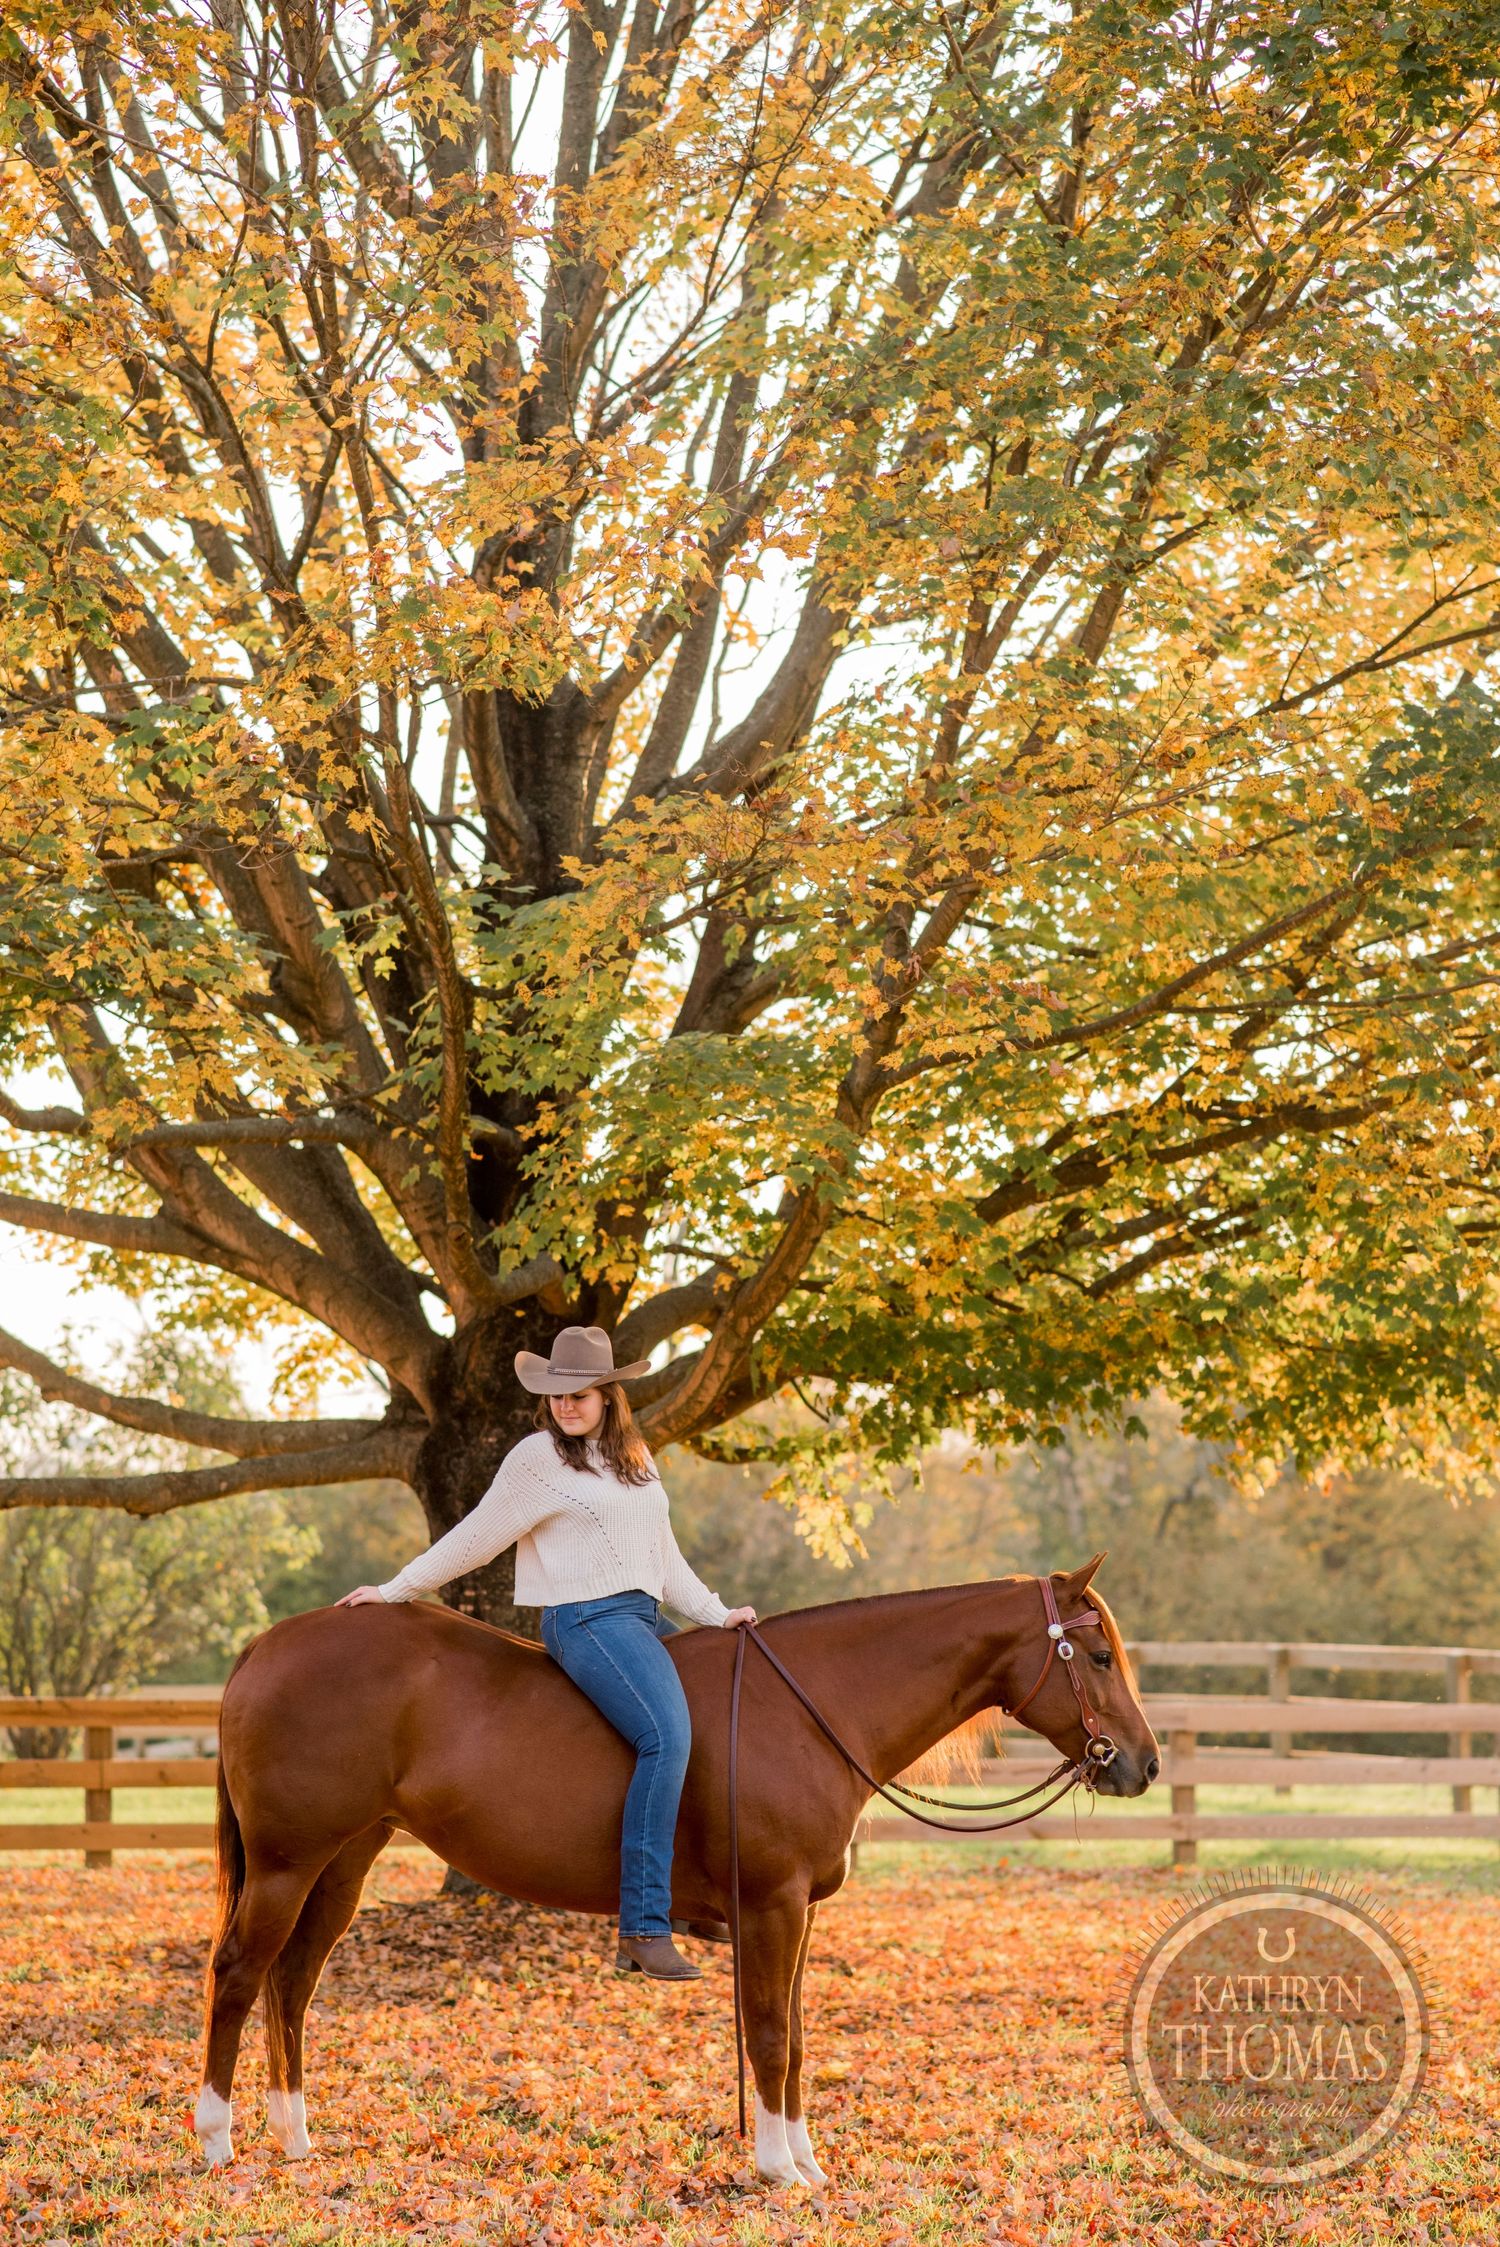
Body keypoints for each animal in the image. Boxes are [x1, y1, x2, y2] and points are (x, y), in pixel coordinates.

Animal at [195, 1551, 1159, 2185]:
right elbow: (768, 2032)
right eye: (1097, 1655)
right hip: (285, 1865)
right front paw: (776, 2167)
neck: (809, 1707)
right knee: (238, 1976)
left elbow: (795, 2036)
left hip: (341, 1865)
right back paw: (215, 2136)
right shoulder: (772, 1906)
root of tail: (266, 1646)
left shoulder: (802, 1912)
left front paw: (802, 2156)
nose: (1143, 1764)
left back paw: (294, 2135)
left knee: (291, 1985)